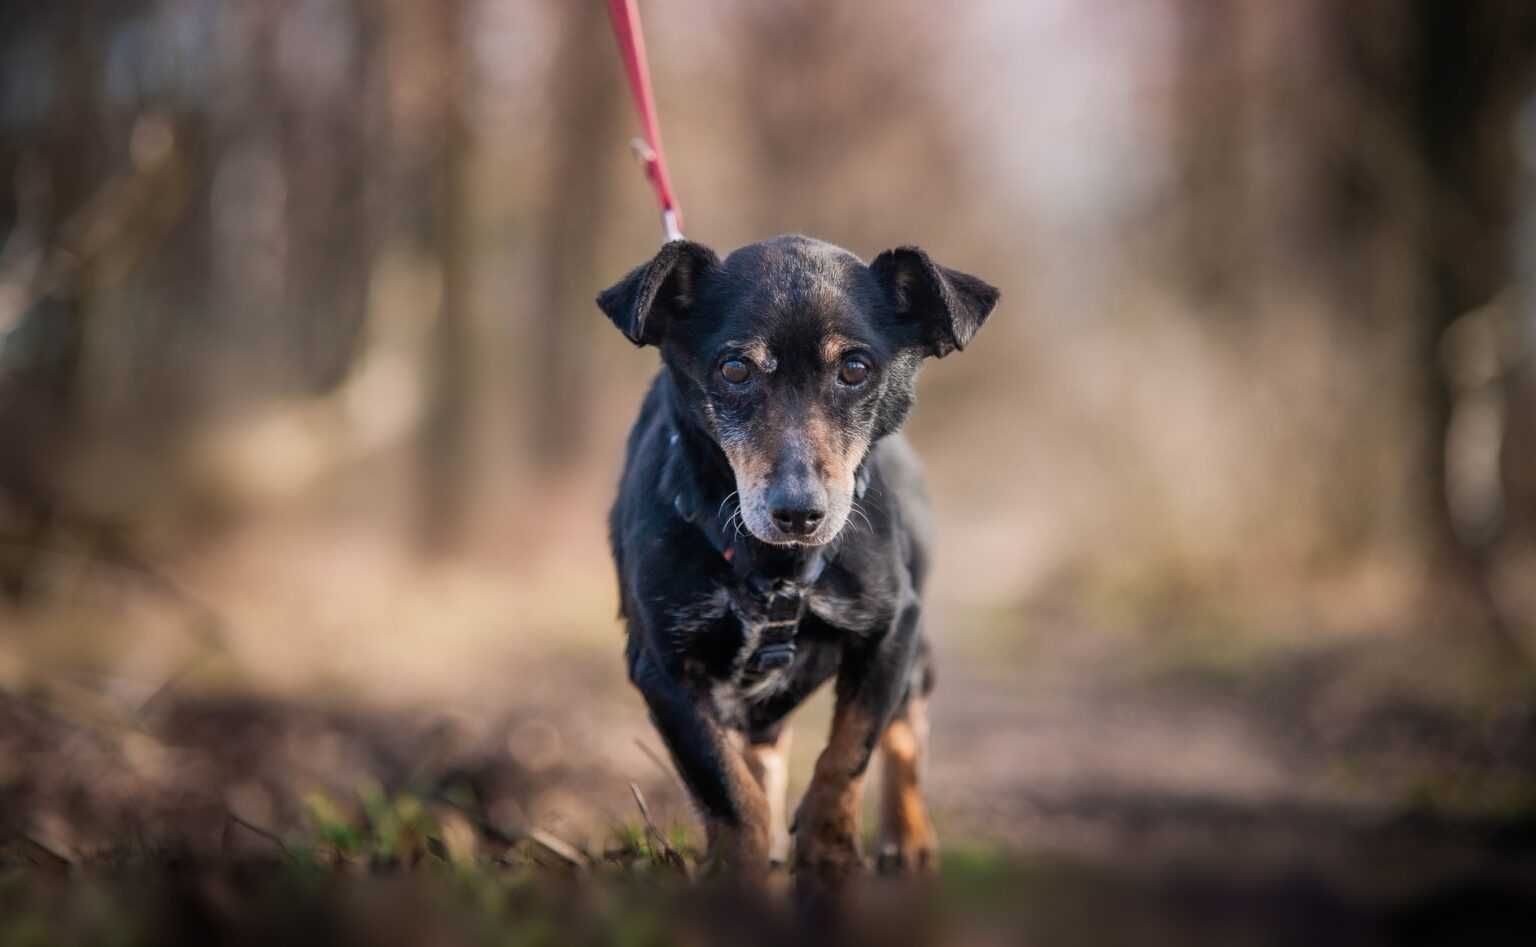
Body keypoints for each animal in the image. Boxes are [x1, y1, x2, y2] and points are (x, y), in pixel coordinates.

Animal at [592, 234, 1001, 877]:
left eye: (855, 369)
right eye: (735, 369)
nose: (799, 512)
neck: (773, 564)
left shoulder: (892, 628)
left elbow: (849, 751)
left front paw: (829, 850)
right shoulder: (662, 666)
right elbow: (727, 788)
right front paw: (740, 867)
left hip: (916, 648)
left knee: (907, 726)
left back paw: (908, 837)